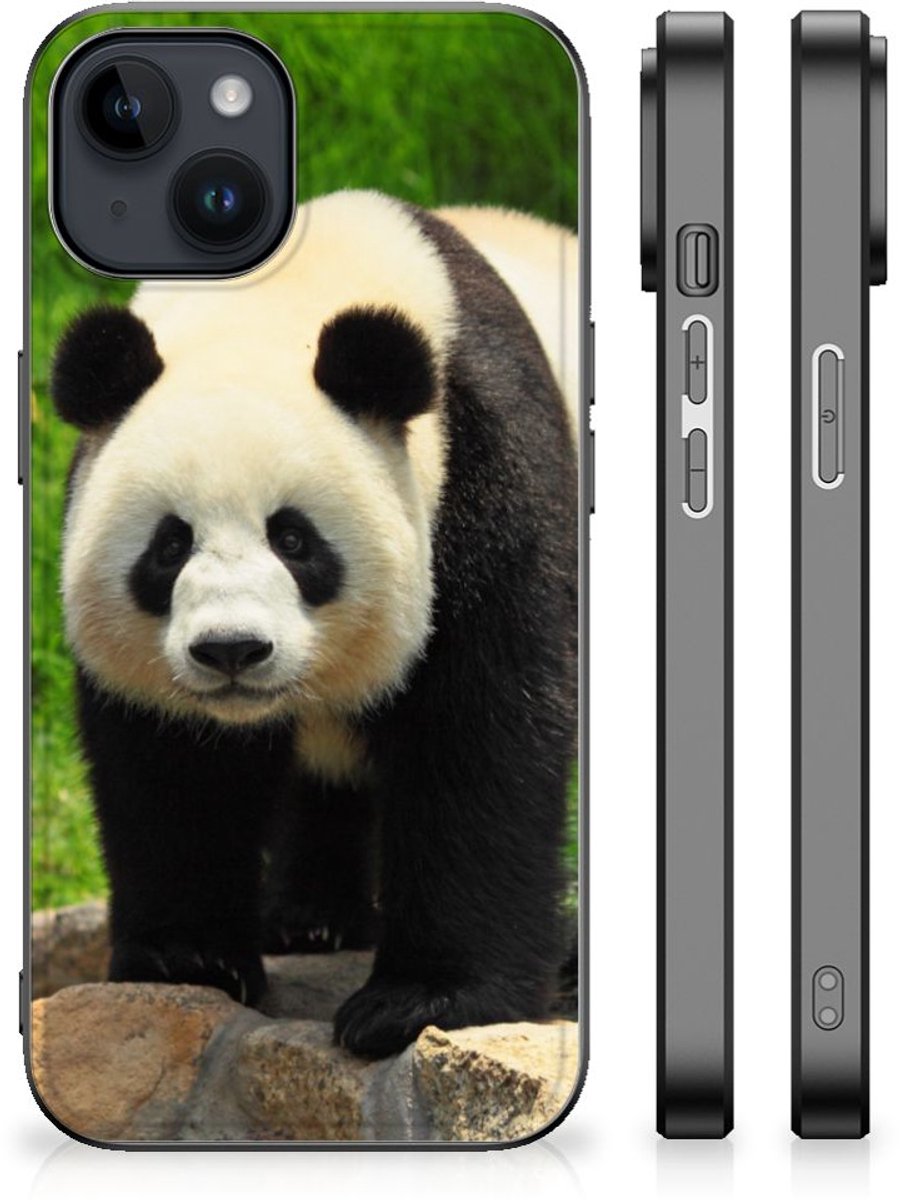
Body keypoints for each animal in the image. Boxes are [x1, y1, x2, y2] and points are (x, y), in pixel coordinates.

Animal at [51, 190, 579, 1058]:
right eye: (169, 546)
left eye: (294, 540)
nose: (231, 650)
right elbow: (173, 766)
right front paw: (187, 958)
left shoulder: (486, 473)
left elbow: (483, 734)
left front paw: (421, 1000)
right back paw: (310, 919)